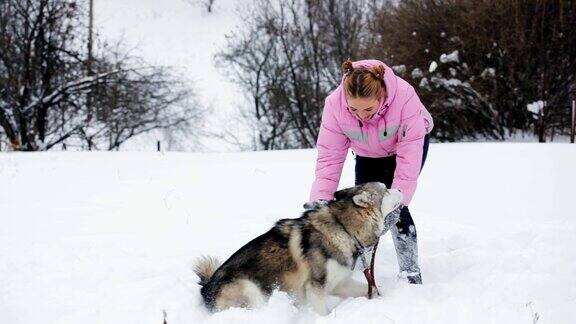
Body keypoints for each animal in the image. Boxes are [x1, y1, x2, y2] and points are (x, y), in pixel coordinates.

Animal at [194, 182, 400, 314]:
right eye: (386, 190)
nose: (399, 187)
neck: (343, 227)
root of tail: (206, 289)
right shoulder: (315, 287)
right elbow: (322, 312)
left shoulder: (340, 283)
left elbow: (373, 289)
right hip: (251, 290)